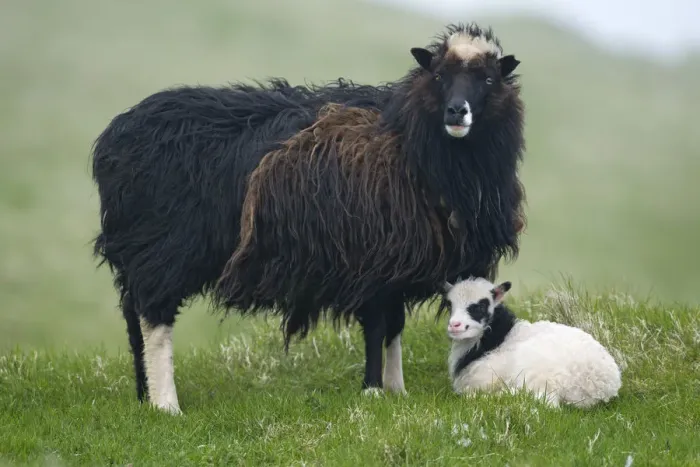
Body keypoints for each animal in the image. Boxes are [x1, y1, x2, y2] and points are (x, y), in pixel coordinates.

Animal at [91, 22, 526, 414]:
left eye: (488, 79)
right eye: (438, 76)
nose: (457, 111)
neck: (409, 140)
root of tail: (115, 136)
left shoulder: (397, 262)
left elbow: (395, 326)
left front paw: (396, 390)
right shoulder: (370, 255)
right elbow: (377, 327)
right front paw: (372, 390)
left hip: (140, 250)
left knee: (132, 318)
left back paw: (144, 395)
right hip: (164, 248)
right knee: (154, 319)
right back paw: (167, 404)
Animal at [443, 277, 622, 408]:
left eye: (480, 307)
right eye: (450, 305)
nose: (454, 325)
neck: (498, 336)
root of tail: (598, 389)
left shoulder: (484, 378)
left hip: (536, 373)